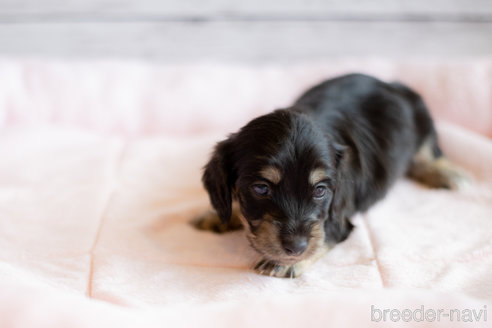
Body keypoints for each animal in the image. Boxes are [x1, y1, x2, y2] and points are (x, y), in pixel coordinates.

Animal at [194, 73, 468, 278]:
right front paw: (216, 215)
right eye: (261, 189)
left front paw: (281, 263)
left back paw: (448, 174)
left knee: (427, 152)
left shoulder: (336, 219)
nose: (296, 248)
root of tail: (390, 83)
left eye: (320, 190)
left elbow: (324, 236)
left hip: (422, 117)